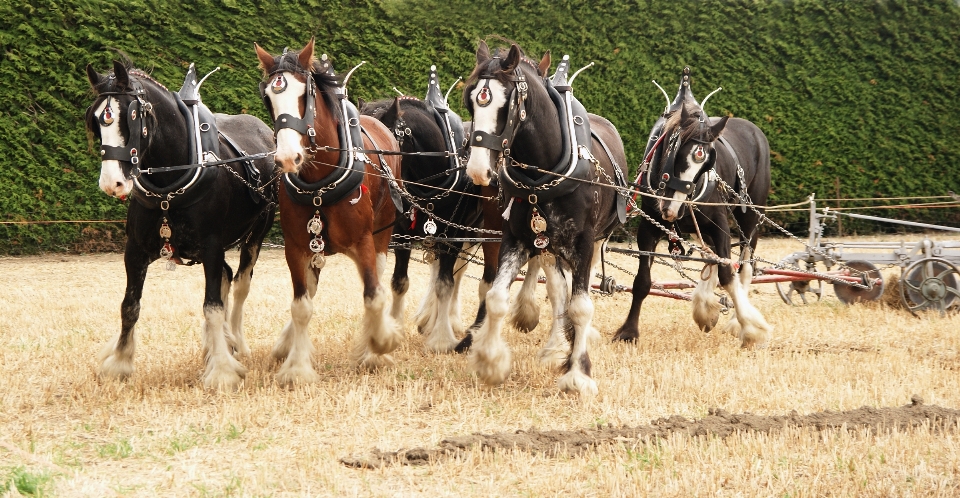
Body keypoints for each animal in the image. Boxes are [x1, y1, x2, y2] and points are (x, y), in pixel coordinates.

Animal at [83, 61, 280, 390]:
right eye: (96, 119)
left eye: (132, 116)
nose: (113, 183)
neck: (169, 186)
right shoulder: (135, 250)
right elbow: (129, 305)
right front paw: (120, 362)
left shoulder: (212, 247)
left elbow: (212, 306)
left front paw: (223, 371)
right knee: (227, 276)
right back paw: (217, 344)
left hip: (257, 232)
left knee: (240, 283)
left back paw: (235, 343)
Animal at [255, 40, 402, 386]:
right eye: (267, 96)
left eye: (304, 94)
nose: (287, 157)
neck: (319, 183)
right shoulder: (297, 247)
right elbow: (301, 305)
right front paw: (296, 367)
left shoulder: (363, 241)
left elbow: (373, 295)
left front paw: (381, 344)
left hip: (383, 229)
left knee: (377, 279)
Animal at [464, 40, 632, 394]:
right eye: (472, 99)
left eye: (506, 103)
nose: (478, 170)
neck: (541, 174)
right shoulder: (517, 238)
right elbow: (497, 297)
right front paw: (490, 362)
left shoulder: (582, 242)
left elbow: (581, 306)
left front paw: (578, 373)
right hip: (549, 245)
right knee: (557, 292)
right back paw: (556, 346)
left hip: (593, 240)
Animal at [616, 68, 772, 348]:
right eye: (675, 150)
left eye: (708, 162)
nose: (672, 208)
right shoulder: (649, 226)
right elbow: (642, 281)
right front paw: (629, 332)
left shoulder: (720, 224)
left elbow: (727, 273)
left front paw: (751, 328)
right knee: (711, 257)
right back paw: (705, 307)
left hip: (751, 214)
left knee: (745, 263)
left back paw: (735, 318)